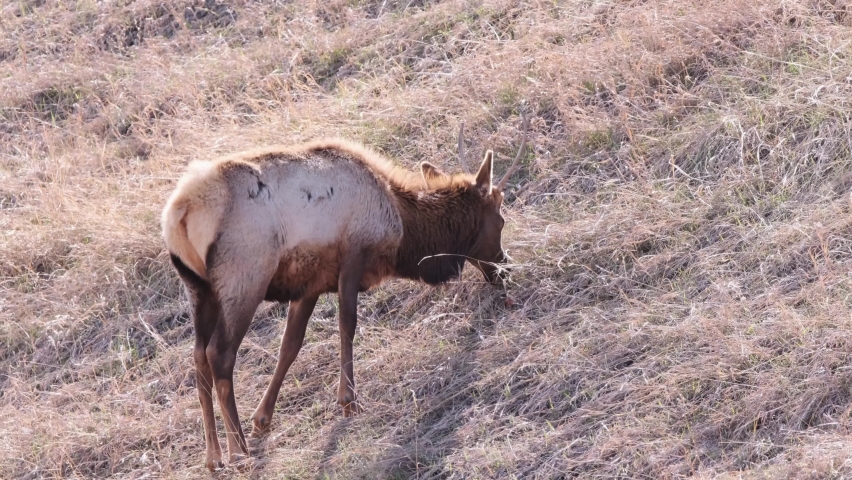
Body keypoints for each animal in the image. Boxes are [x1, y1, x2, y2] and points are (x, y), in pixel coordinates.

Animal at [161, 114, 529, 470]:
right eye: (501, 219)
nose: (504, 268)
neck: (401, 231)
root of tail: (180, 211)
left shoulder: (310, 283)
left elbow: (290, 346)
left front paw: (263, 417)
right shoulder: (353, 257)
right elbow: (347, 326)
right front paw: (348, 400)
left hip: (198, 289)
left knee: (198, 356)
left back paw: (213, 457)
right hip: (244, 276)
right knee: (219, 354)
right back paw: (238, 451)